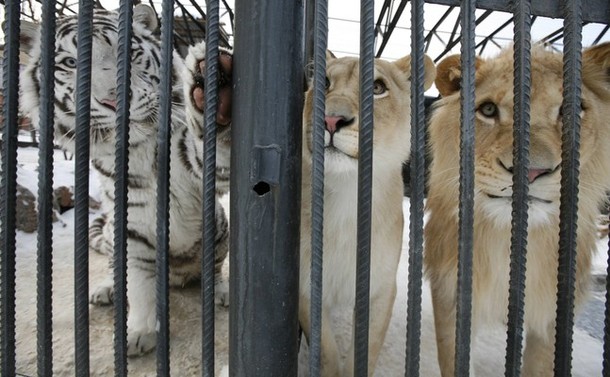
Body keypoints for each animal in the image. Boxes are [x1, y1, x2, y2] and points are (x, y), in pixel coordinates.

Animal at [19, 4, 232, 354]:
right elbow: (140, 285)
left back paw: (221, 291)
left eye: (130, 53)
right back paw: (106, 290)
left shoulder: (201, 164)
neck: (138, 149)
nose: (115, 101)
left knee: (213, 269)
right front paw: (140, 333)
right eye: (71, 64)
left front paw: (216, 88)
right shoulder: (131, 225)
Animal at [298, 53, 432, 376]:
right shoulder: (306, 284)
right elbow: (325, 351)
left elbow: (366, 349)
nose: (331, 120)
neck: (348, 192)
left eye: (378, 88)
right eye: (324, 83)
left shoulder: (380, 287)